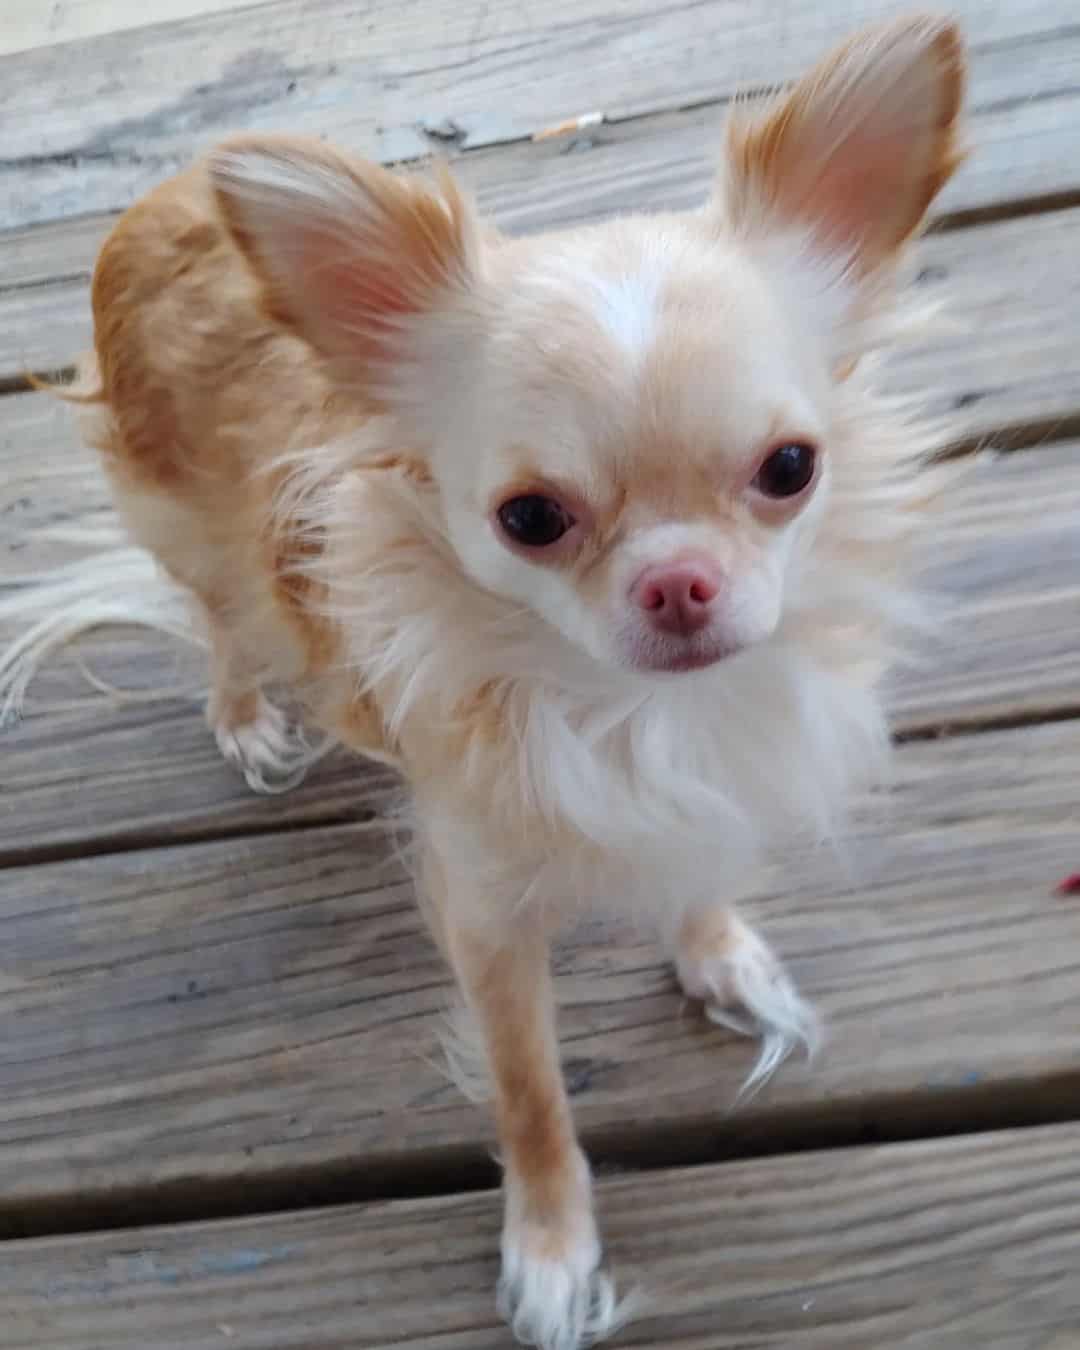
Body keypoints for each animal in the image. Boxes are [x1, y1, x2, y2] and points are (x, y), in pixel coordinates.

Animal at [2, 13, 972, 1350]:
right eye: (530, 519)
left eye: (790, 469)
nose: (679, 582)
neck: (637, 715)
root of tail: (166, 190)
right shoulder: (484, 911)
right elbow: (530, 1091)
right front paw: (554, 1250)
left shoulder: (706, 794)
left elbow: (697, 873)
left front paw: (716, 950)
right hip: (191, 527)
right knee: (221, 620)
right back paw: (243, 714)